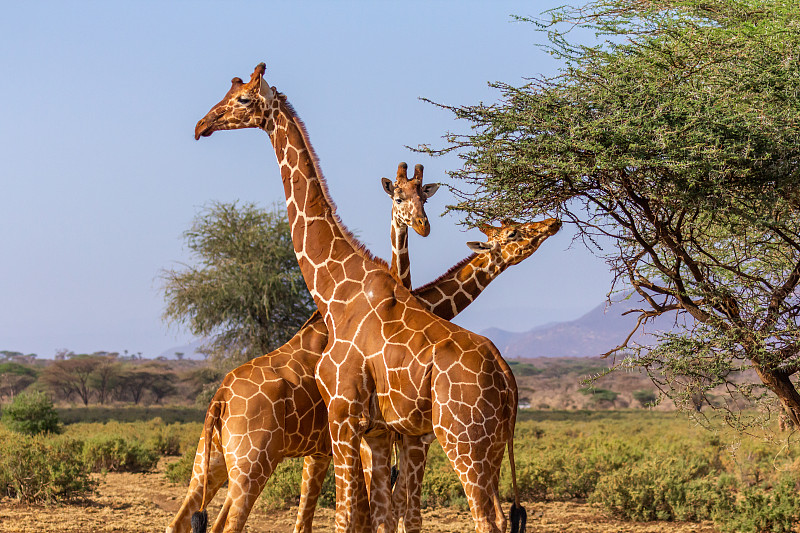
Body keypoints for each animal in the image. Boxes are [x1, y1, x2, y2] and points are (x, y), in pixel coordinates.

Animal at [196, 63, 552, 532]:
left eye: (241, 99)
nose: (202, 125)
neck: (335, 291)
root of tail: (508, 380)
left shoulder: (348, 419)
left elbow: (353, 517)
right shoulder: (378, 432)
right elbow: (380, 516)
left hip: (463, 440)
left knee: (486, 518)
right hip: (486, 446)